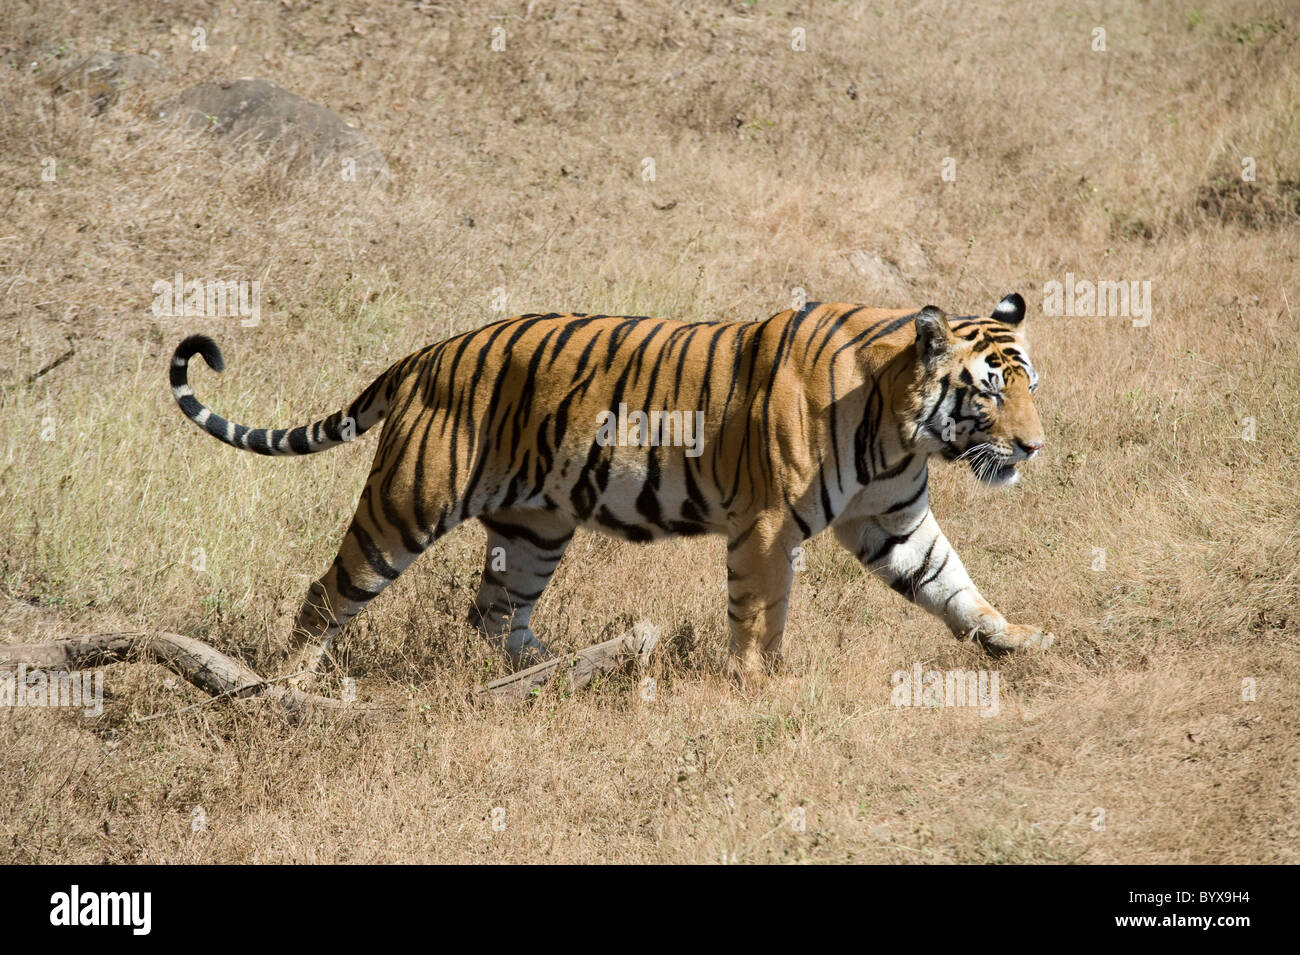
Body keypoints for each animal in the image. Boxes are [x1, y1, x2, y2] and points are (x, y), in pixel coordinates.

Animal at [170, 294, 1045, 686]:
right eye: (990, 392)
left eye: (1030, 385)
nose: (1034, 446)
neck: (900, 429)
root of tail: (427, 353)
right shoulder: (766, 525)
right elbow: (760, 611)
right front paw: (756, 683)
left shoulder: (892, 520)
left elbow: (952, 583)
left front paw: (1013, 638)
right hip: (407, 505)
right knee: (327, 591)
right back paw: (289, 687)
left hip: (535, 525)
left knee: (494, 615)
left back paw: (560, 669)